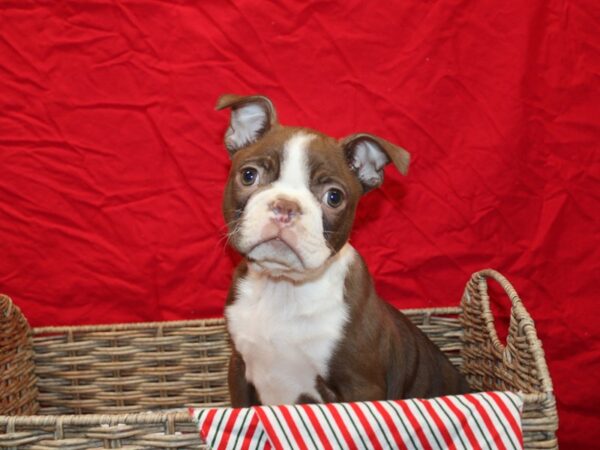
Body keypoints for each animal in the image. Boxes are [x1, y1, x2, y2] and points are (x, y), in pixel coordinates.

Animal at [218, 93, 472, 406]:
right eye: (249, 175)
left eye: (334, 197)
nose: (286, 206)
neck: (284, 288)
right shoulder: (239, 370)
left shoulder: (360, 388)